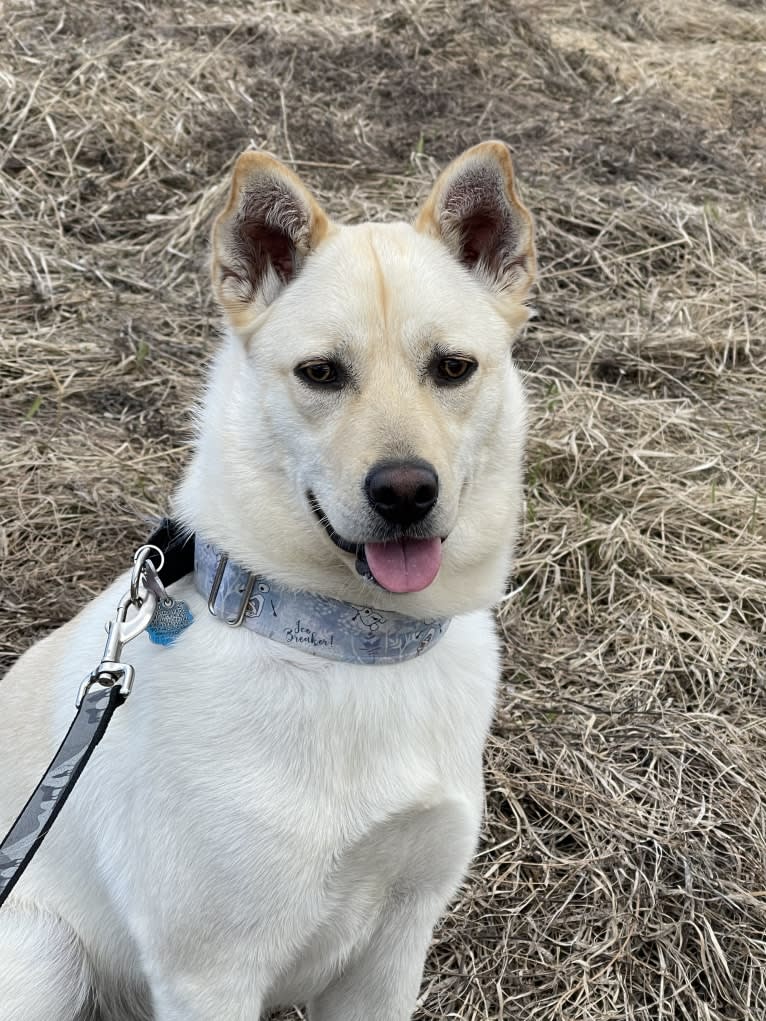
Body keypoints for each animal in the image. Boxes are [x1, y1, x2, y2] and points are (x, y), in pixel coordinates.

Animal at [0, 143, 535, 1021]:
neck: (345, 643)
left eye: (454, 367)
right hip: (46, 951)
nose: (406, 491)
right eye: (320, 373)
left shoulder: (392, 953)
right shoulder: (210, 973)